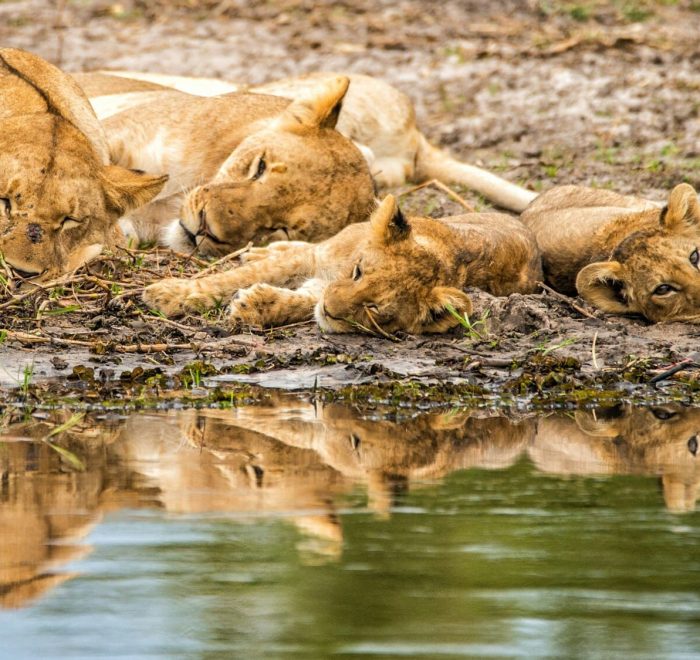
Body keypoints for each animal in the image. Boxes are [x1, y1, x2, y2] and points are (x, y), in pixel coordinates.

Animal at [144, 193, 540, 332]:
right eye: (359, 271)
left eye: (375, 309)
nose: (331, 311)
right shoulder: (318, 260)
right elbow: (227, 279)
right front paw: (169, 295)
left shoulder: (321, 289)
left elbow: (302, 302)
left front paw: (257, 306)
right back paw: (260, 250)